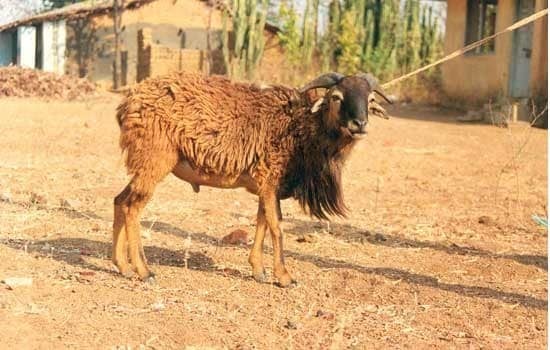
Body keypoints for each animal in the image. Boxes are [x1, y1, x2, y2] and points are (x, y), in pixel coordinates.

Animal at [114, 71, 392, 288]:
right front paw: (285, 277)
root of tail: (128, 103)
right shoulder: (270, 180)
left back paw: (123, 267)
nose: (359, 123)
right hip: (153, 163)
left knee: (119, 201)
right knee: (132, 207)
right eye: (336, 97)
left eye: (370, 99)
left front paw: (259, 271)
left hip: (143, 166)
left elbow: (261, 224)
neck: (300, 125)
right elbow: (277, 228)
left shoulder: (266, 186)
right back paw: (144, 271)